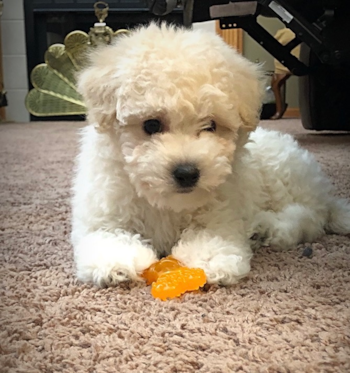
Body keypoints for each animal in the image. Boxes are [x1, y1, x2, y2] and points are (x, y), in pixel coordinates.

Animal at [71, 23, 350, 286]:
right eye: (151, 125)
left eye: (211, 125)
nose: (186, 173)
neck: (165, 203)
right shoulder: (104, 212)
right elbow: (105, 235)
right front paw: (117, 261)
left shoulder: (223, 211)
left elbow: (213, 234)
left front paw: (212, 259)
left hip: (283, 176)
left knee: (309, 218)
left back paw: (267, 228)